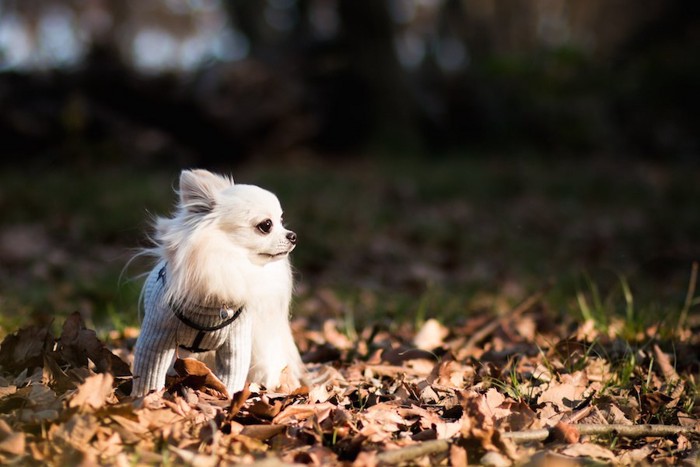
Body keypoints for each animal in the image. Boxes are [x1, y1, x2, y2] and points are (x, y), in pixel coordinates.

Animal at [133, 170, 304, 396]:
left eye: (281, 220)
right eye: (266, 225)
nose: (293, 235)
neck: (228, 262)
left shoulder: (236, 342)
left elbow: (232, 374)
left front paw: (228, 397)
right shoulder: (157, 335)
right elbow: (149, 371)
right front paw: (144, 398)